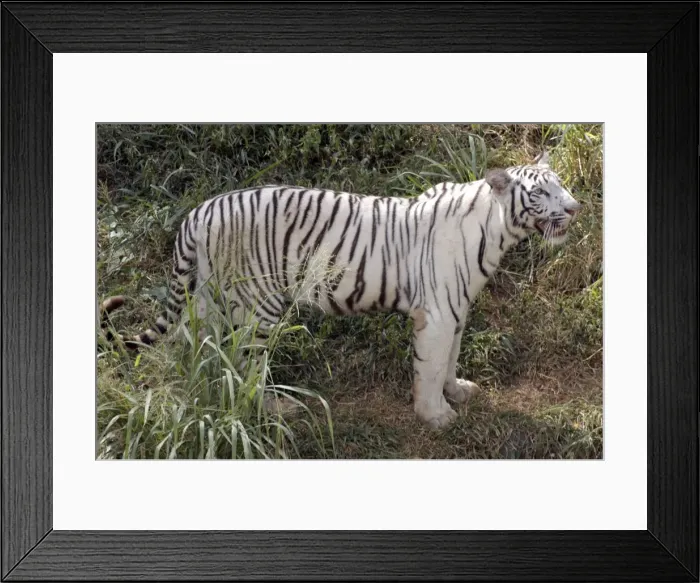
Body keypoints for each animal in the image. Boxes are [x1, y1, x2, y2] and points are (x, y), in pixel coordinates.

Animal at [99, 151, 582, 430]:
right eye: (541, 193)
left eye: (561, 184)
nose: (576, 208)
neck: (498, 232)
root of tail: (199, 211)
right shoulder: (438, 313)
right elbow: (429, 367)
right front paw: (436, 416)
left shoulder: (458, 309)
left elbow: (450, 359)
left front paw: (457, 390)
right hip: (257, 305)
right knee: (246, 359)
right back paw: (272, 408)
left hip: (209, 298)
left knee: (200, 348)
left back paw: (205, 392)